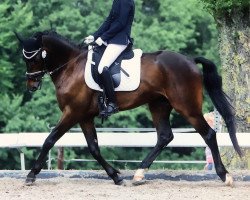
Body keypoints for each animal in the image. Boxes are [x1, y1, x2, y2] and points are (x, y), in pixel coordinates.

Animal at [14, 30, 241, 186]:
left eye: (34, 58)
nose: (31, 85)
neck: (71, 66)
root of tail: (190, 60)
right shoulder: (84, 117)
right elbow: (94, 148)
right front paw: (115, 176)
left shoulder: (72, 112)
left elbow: (49, 140)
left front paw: (31, 175)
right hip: (158, 105)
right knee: (165, 136)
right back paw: (139, 174)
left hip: (187, 107)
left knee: (208, 134)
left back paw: (225, 176)